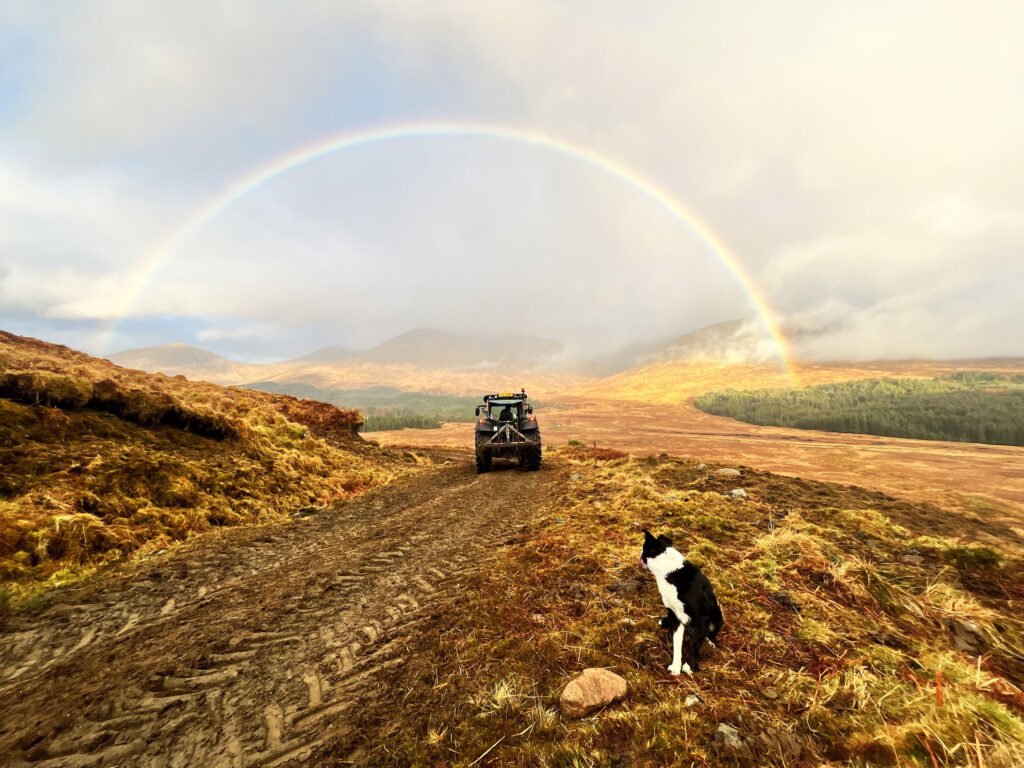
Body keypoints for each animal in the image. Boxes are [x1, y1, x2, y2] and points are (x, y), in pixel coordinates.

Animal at [634, 532, 724, 675]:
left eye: (644, 548)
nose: (639, 554)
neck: (669, 572)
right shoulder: (677, 616)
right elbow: (677, 643)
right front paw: (676, 666)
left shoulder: (701, 618)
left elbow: (693, 644)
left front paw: (690, 666)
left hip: (718, 617)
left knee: (709, 634)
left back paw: (710, 642)